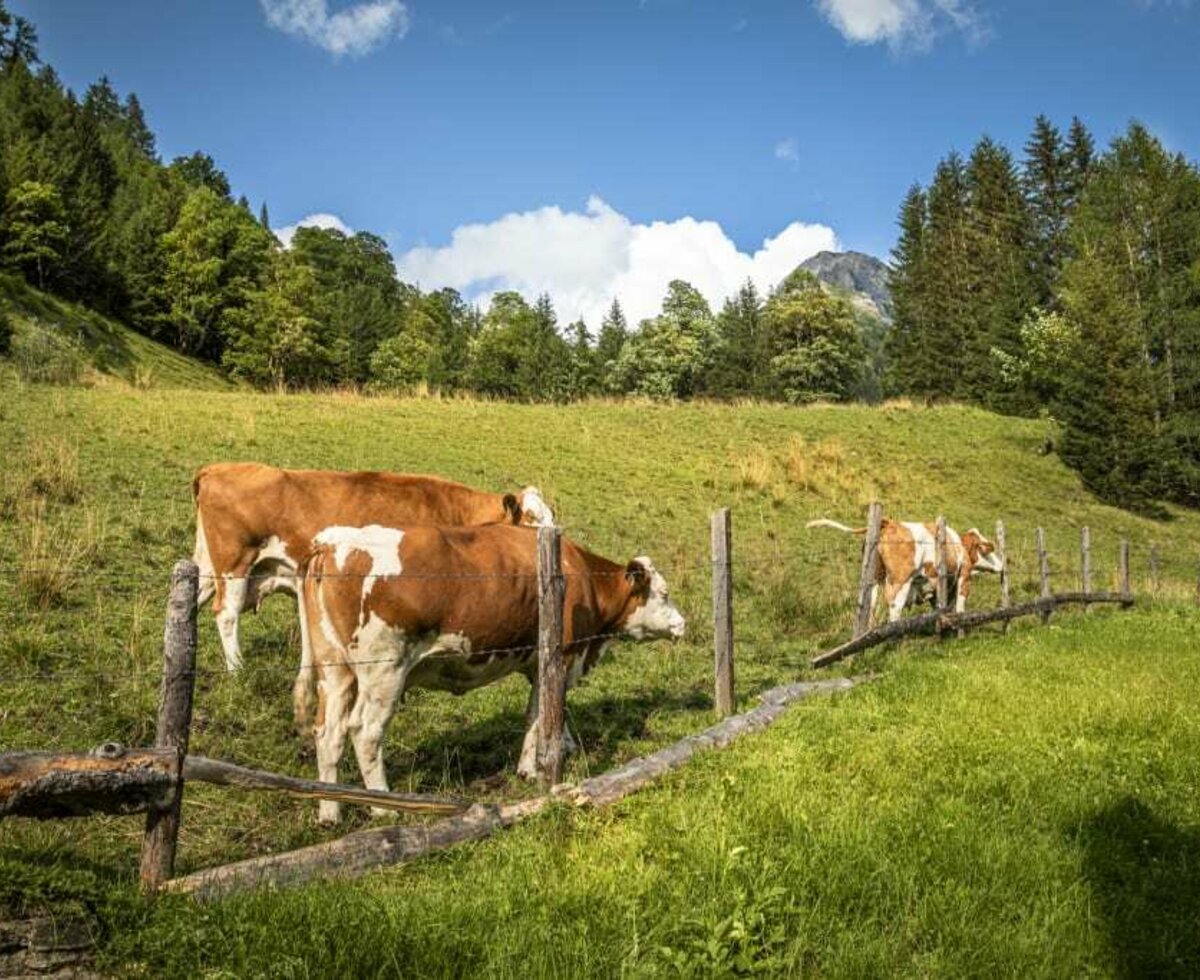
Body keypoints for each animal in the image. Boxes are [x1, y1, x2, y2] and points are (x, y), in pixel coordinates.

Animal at [300, 522, 686, 820]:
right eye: (664, 594)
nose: (682, 624)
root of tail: (331, 542)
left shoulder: (538, 663)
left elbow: (539, 714)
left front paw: (540, 760)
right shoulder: (560, 657)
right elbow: (543, 715)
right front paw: (535, 769)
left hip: (336, 670)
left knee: (329, 733)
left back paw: (330, 810)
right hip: (384, 670)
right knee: (365, 733)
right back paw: (383, 807)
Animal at [806, 515, 1003, 623]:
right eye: (986, 550)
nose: (1001, 564)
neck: (959, 546)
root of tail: (890, 523)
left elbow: (939, 608)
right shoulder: (964, 577)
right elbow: (961, 608)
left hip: (875, 579)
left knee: (870, 608)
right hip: (900, 581)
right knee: (894, 609)